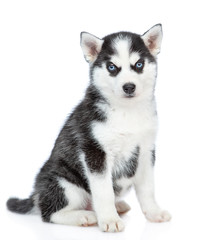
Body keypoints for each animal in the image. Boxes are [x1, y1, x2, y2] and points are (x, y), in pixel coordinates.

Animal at [6, 24, 171, 232]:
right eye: (112, 67)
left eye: (139, 64)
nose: (129, 87)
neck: (126, 112)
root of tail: (36, 193)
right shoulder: (95, 151)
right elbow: (103, 191)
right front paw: (109, 220)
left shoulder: (145, 151)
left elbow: (147, 188)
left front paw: (154, 213)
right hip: (64, 183)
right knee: (49, 213)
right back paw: (83, 216)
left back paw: (116, 206)